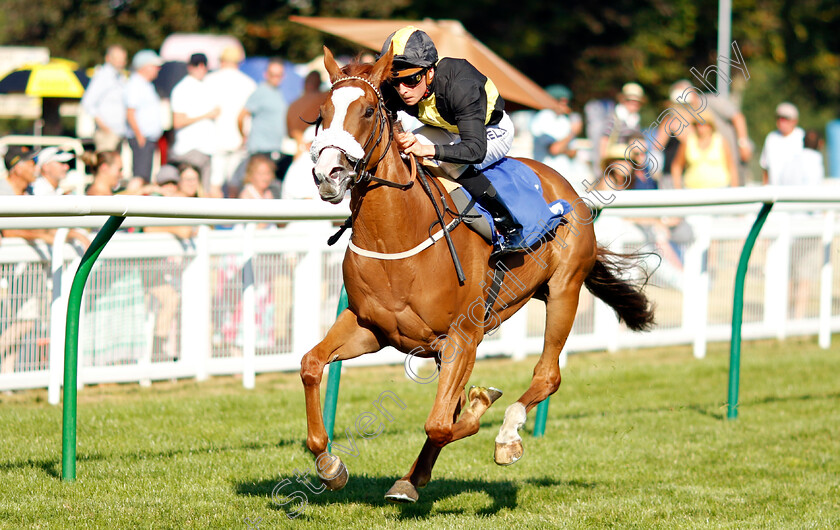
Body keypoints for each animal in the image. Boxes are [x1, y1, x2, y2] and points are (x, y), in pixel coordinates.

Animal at [302, 47, 656, 502]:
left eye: (366, 111)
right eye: (322, 113)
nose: (328, 174)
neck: (397, 236)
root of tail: (564, 186)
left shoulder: (462, 336)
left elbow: (443, 422)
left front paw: (484, 405)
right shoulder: (372, 328)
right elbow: (311, 364)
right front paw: (330, 465)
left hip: (564, 289)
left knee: (548, 375)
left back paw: (507, 434)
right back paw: (412, 477)